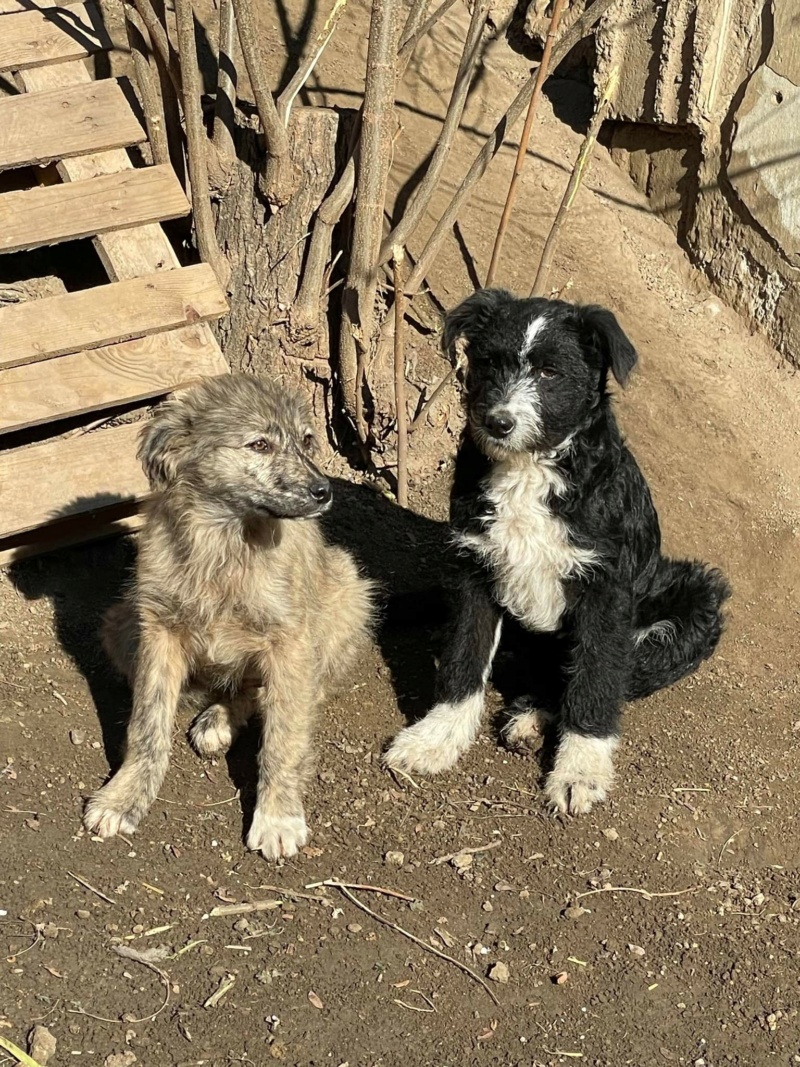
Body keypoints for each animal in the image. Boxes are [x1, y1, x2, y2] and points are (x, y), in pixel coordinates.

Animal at [388, 288, 733, 810]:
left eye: (551, 372)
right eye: (489, 362)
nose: (498, 423)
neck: (530, 470)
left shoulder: (605, 590)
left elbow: (595, 677)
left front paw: (580, 771)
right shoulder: (474, 567)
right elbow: (464, 656)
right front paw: (436, 738)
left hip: (696, 603)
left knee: (599, 675)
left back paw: (536, 715)